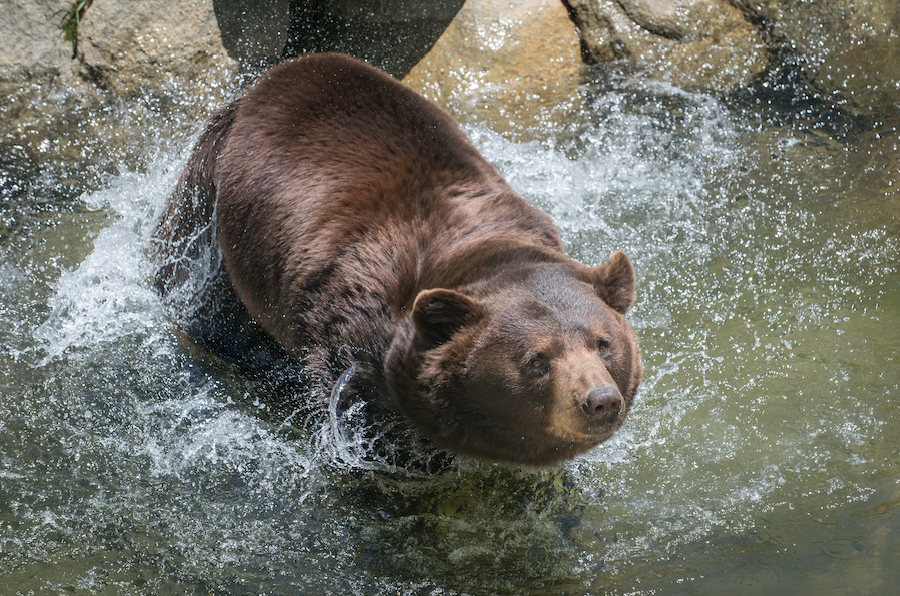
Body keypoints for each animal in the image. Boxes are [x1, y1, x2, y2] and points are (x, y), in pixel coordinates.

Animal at [156, 53, 648, 468]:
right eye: (536, 360)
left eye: (604, 344)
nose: (600, 400)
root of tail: (265, 80)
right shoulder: (353, 314)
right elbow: (350, 400)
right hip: (212, 210)